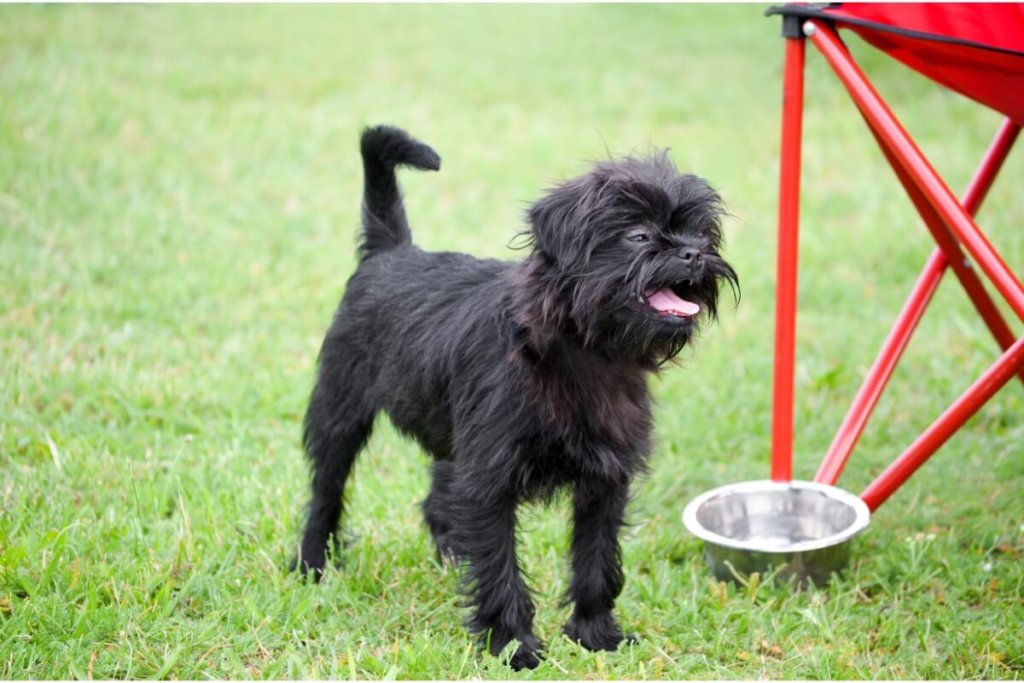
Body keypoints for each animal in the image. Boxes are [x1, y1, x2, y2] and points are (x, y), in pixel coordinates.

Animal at [294, 125, 737, 671]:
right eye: (637, 236)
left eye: (703, 234)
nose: (693, 253)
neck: (584, 350)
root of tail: (390, 251)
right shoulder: (490, 479)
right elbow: (500, 564)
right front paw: (512, 645)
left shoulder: (605, 480)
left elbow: (596, 560)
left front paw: (596, 634)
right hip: (341, 408)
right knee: (326, 487)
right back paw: (312, 563)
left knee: (437, 495)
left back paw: (451, 559)